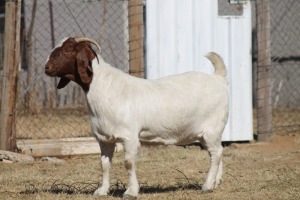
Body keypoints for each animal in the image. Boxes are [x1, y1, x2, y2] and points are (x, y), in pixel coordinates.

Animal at [44, 36, 229, 198]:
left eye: (68, 49)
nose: (47, 68)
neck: (105, 87)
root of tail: (218, 79)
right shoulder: (104, 138)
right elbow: (104, 164)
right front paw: (102, 191)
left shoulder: (129, 136)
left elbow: (128, 162)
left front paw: (131, 192)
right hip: (208, 133)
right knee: (217, 152)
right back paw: (215, 183)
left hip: (212, 128)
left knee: (216, 152)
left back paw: (207, 186)